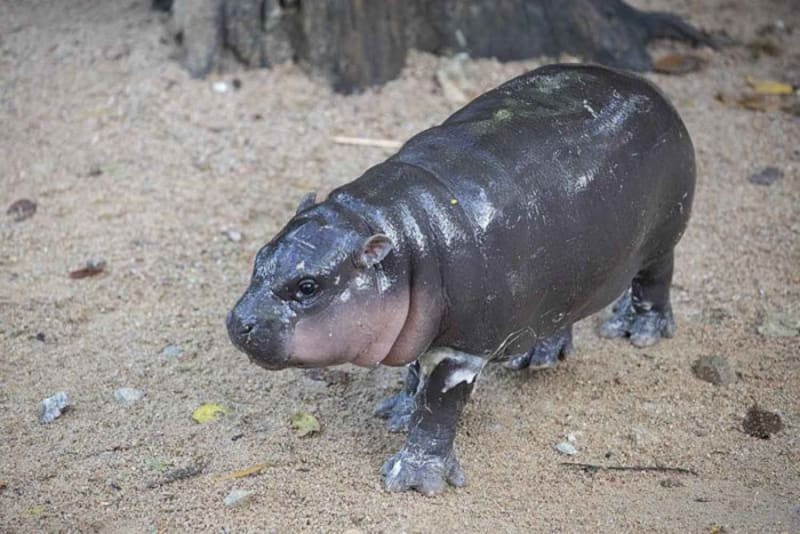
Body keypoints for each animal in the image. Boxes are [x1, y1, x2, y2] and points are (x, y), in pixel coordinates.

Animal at [226, 64, 695, 495]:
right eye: (259, 257)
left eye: (308, 287)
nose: (238, 322)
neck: (402, 236)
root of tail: (647, 87)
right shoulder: (421, 325)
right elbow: (414, 374)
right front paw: (396, 413)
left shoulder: (461, 349)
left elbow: (438, 409)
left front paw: (413, 479)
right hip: (570, 269)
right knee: (563, 307)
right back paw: (537, 356)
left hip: (662, 238)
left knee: (656, 279)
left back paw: (636, 330)